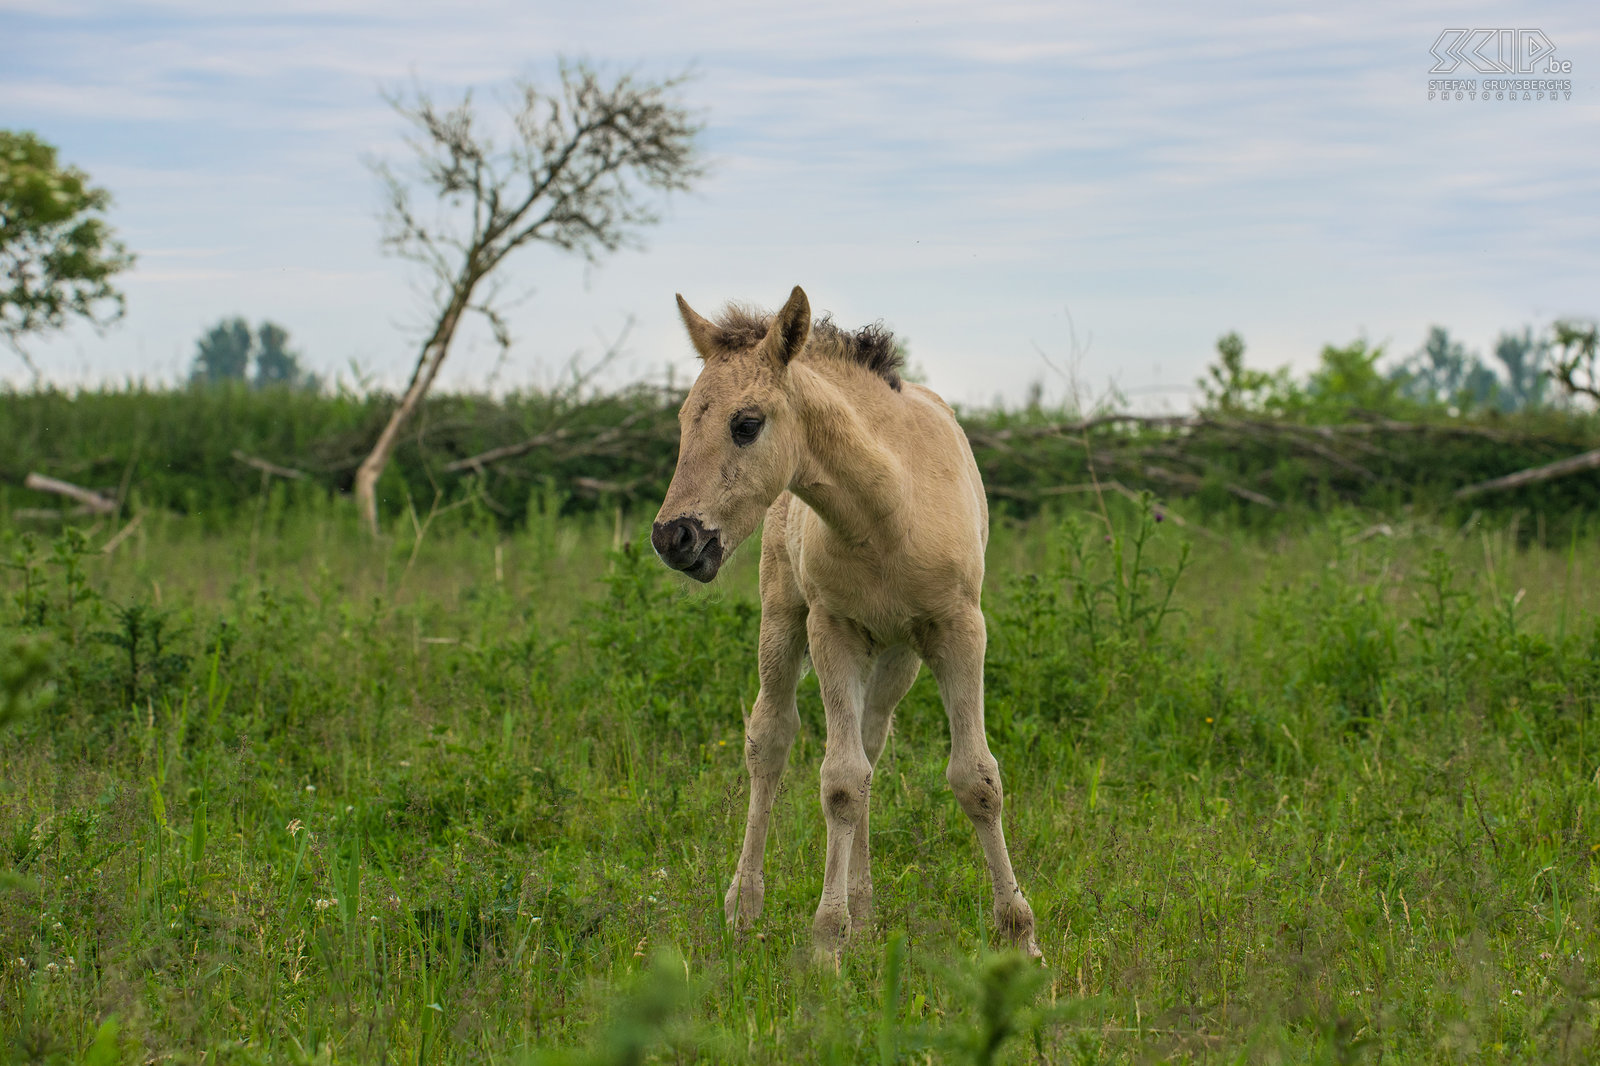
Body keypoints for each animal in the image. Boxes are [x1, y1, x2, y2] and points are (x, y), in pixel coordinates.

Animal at [649, 281, 1036, 953]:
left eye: (745, 424)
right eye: (683, 421)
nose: (674, 537)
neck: (887, 508)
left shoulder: (960, 630)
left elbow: (975, 778)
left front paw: (1021, 936)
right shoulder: (830, 630)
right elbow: (839, 782)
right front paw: (828, 941)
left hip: (898, 657)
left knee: (872, 749)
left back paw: (865, 908)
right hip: (783, 621)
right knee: (771, 742)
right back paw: (745, 905)